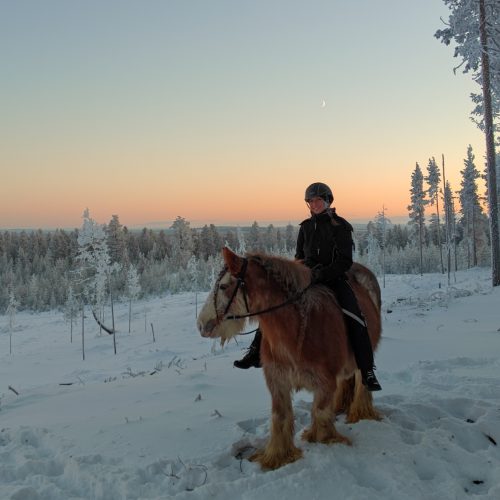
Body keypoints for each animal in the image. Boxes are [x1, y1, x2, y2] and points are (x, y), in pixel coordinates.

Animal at [197, 248, 380, 470]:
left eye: (223, 286)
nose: (201, 325)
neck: (299, 330)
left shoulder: (325, 383)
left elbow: (320, 412)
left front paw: (323, 440)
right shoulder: (277, 381)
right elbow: (280, 417)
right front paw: (276, 457)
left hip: (363, 361)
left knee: (362, 383)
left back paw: (360, 412)